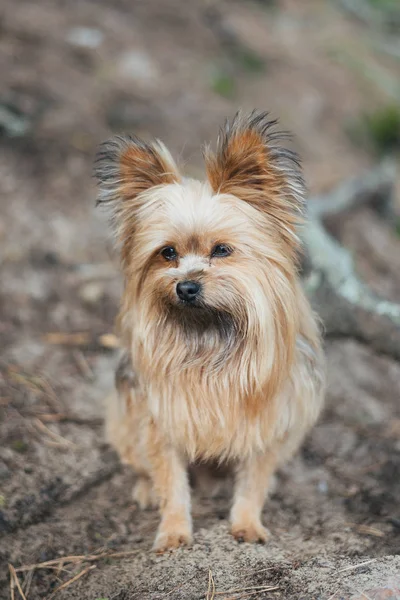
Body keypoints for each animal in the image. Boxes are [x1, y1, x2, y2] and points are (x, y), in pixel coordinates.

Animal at [94, 110, 324, 552]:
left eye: (221, 250)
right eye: (167, 253)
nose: (186, 286)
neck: (209, 332)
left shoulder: (269, 422)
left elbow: (254, 481)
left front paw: (247, 524)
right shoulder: (160, 419)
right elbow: (172, 481)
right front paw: (174, 531)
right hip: (124, 418)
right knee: (142, 464)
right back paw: (147, 489)